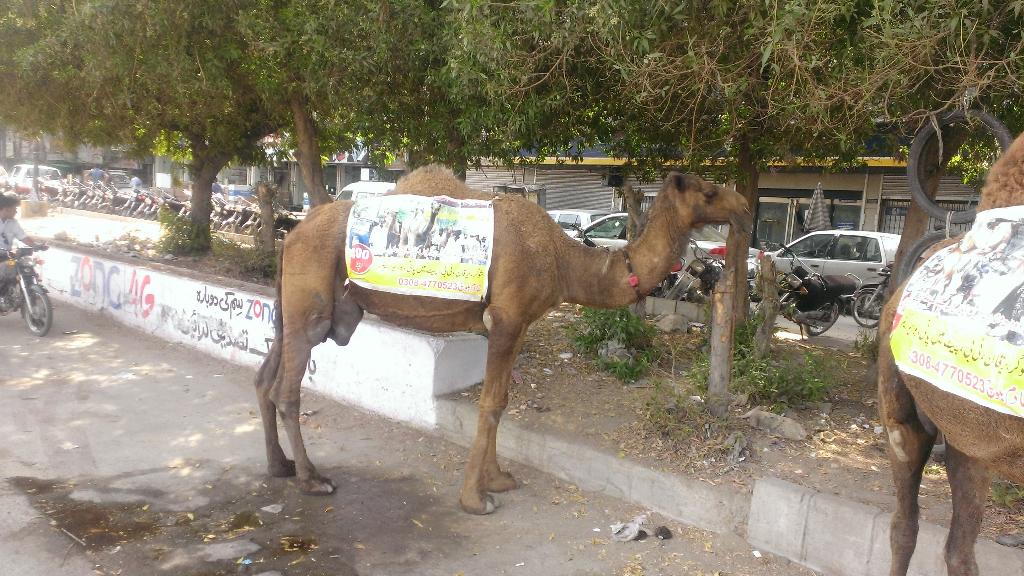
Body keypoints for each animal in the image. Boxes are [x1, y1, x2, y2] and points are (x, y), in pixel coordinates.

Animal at [256, 163, 749, 512]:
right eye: (709, 191)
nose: (744, 207)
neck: (563, 260)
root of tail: (291, 234)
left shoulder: (520, 324)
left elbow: (503, 402)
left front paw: (497, 479)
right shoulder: (507, 318)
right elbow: (490, 403)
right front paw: (476, 498)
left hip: (294, 312)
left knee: (265, 377)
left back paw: (279, 465)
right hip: (311, 308)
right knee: (286, 390)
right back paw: (313, 479)